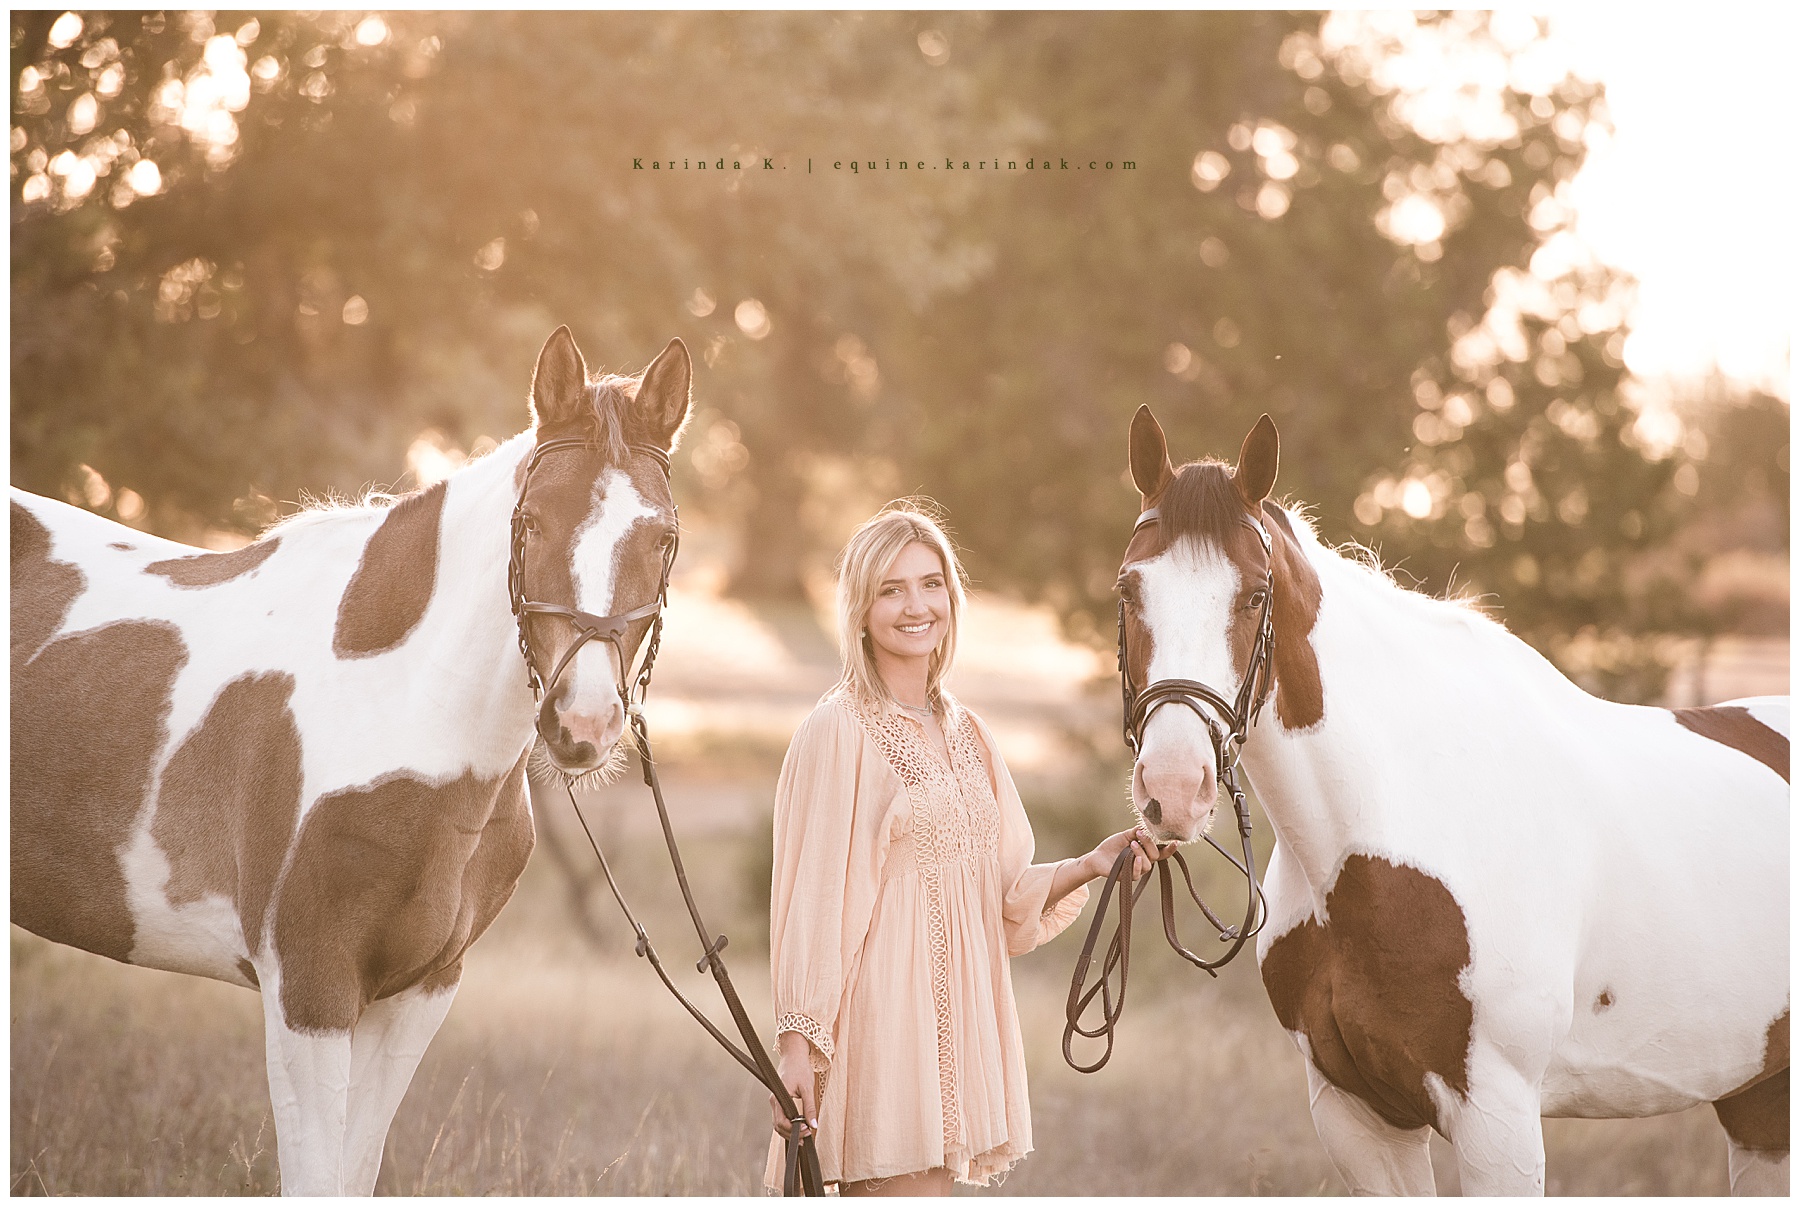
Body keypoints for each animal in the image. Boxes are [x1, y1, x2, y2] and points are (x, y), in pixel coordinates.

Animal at [11, 325, 691, 1195]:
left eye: (662, 537)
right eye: (533, 522)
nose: (584, 721)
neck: (399, 703)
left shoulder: (417, 994)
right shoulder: (310, 988)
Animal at [1116, 406, 1788, 1195]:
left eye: (1255, 595)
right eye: (1128, 591)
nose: (1172, 786)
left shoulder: (1497, 1118)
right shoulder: (1359, 1115)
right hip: (1760, 1104)